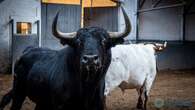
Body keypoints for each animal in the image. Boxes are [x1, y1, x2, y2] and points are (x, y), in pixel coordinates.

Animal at [0, 1, 132, 110]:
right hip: (19, 92)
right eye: (78, 41)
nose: (90, 59)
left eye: (104, 41)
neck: (87, 87)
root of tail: (27, 51)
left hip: (40, 100)